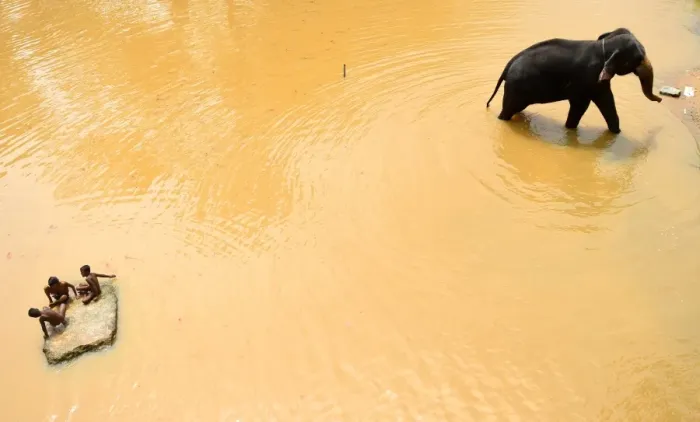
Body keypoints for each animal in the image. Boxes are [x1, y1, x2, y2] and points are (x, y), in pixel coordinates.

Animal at [485, 28, 662, 134]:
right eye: (639, 58)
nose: (660, 99)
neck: (604, 45)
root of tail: (508, 65)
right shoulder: (589, 79)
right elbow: (588, 103)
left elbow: (597, 102)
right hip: (516, 87)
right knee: (508, 110)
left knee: (517, 107)